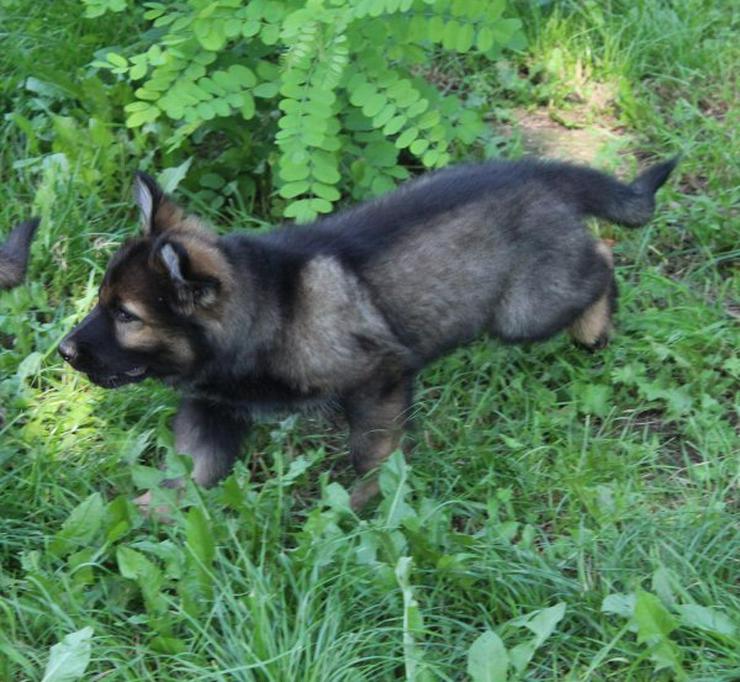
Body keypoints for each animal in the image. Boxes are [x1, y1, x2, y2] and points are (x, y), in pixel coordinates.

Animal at [59, 158, 676, 504]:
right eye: (103, 303)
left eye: (126, 316)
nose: (63, 350)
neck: (269, 312)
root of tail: (542, 171)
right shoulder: (213, 407)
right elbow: (186, 471)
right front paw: (144, 521)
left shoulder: (379, 377)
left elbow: (373, 452)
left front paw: (367, 503)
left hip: (524, 310)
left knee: (601, 259)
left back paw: (593, 329)